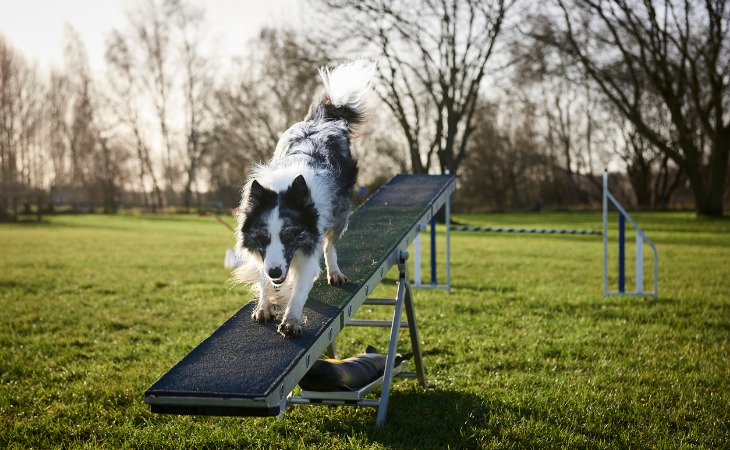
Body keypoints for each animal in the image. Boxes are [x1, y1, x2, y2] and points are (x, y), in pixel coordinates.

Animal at [235, 62, 372, 338]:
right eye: (263, 238)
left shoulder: (310, 245)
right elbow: (263, 278)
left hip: (339, 214)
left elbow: (299, 288)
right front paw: (265, 305)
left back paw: (335, 272)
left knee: (330, 245)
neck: (284, 187)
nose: (276, 272)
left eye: (290, 238)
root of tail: (322, 120)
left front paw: (291, 320)